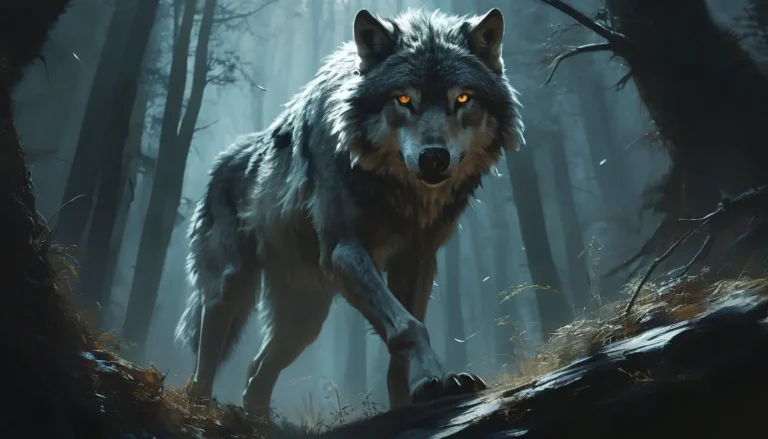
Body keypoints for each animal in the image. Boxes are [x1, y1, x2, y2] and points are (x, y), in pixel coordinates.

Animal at [174, 7, 523, 415]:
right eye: (403, 99)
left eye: (463, 98)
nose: (434, 158)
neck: (396, 191)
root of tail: (222, 162)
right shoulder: (345, 249)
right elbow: (407, 326)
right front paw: (430, 378)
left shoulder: (417, 258)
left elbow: (407, 327)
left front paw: (419, 391)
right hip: (230, 289)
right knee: (207, 358)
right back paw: (199, 405)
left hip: (305, 318)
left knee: (256, 373)